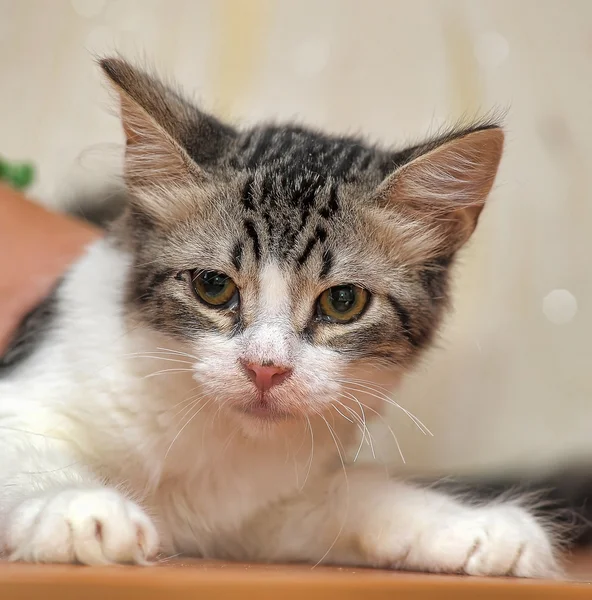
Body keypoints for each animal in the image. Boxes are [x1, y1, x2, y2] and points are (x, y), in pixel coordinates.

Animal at [0, 57, 560, 576]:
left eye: (342, 302)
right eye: (213, 287)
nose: (265, 369)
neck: (218, 440)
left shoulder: (262, 515)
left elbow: (358, 491)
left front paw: (469, 524)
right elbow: (29, 454)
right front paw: (76, 507)